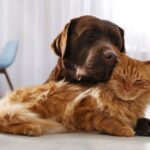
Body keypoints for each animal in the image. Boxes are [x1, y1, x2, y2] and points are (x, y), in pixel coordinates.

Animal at [0, 49, 150, 137]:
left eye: (138, 81)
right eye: (121, 78)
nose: (127, 89)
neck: (123, 104)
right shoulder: (80, 111)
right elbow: (106, 119)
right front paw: (124, 129)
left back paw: (31, 128)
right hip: (44, 101)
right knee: (5, 118)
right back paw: (32, 128)